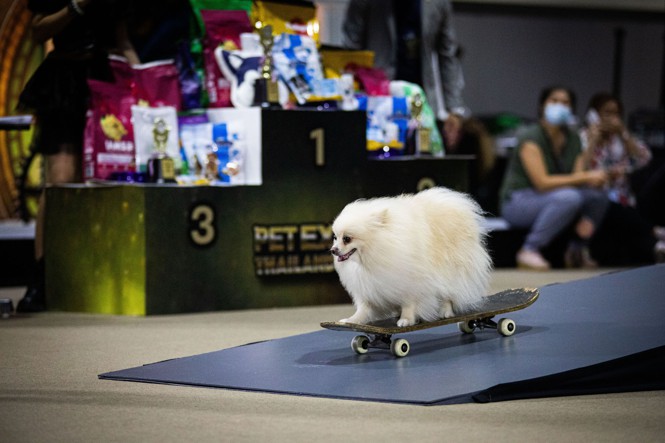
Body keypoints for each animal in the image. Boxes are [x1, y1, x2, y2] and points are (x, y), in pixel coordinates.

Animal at [330, 186, 490, 328]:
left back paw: (445, 311)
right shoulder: (369, 286)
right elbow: (364, 308)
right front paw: (352, 320)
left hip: (451, 271)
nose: (333, 250)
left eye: (347, 239)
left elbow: (409, 304)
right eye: (335, 237)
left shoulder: (410, 283)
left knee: (449, 294)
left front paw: (406, 319)